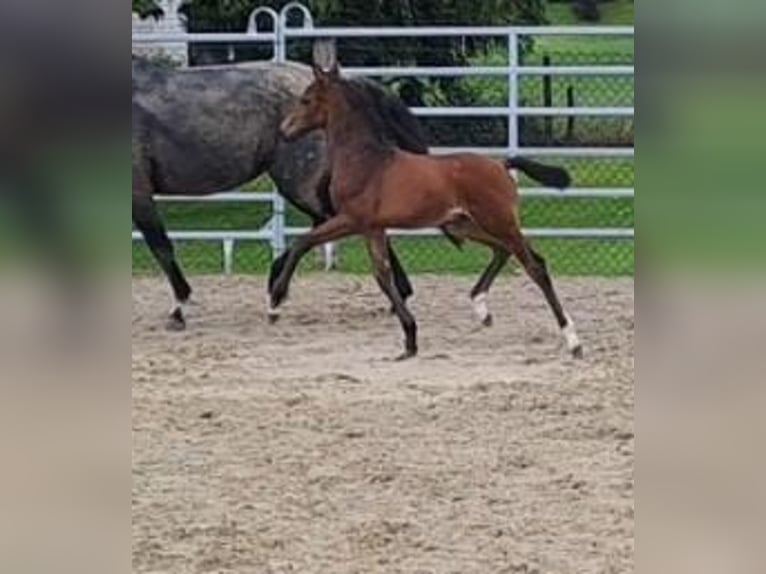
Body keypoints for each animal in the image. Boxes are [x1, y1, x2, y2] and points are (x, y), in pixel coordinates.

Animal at [276, 63, 584, 360]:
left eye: (306, 99)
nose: (284, 130)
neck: (366, 161)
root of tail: (501, 165)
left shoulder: (352, 220)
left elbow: (302, 242)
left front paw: (277, 300)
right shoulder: (373, 228)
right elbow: (382, 276)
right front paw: (410, 341)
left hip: (499, 221)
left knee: (535, 266)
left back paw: (573, 341)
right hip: (464, 224)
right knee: (502, 250)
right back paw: (481, 307)